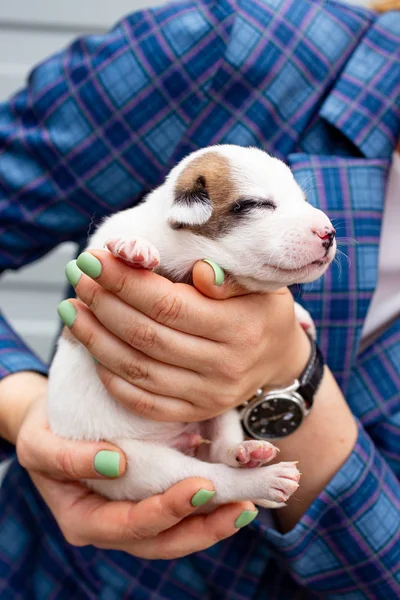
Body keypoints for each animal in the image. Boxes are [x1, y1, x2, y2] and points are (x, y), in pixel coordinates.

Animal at [47, 144, 336, 506]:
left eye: (302, 199)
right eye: (256, 204)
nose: (329, 233)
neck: (185, 252)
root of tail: (183, 439)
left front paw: (300, 314)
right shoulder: (96, 258)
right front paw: (134, 248)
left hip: (217, 410)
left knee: (222, 452)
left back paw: (248, 453)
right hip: (138, 464)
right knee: (214, 479)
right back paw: (266, 479)